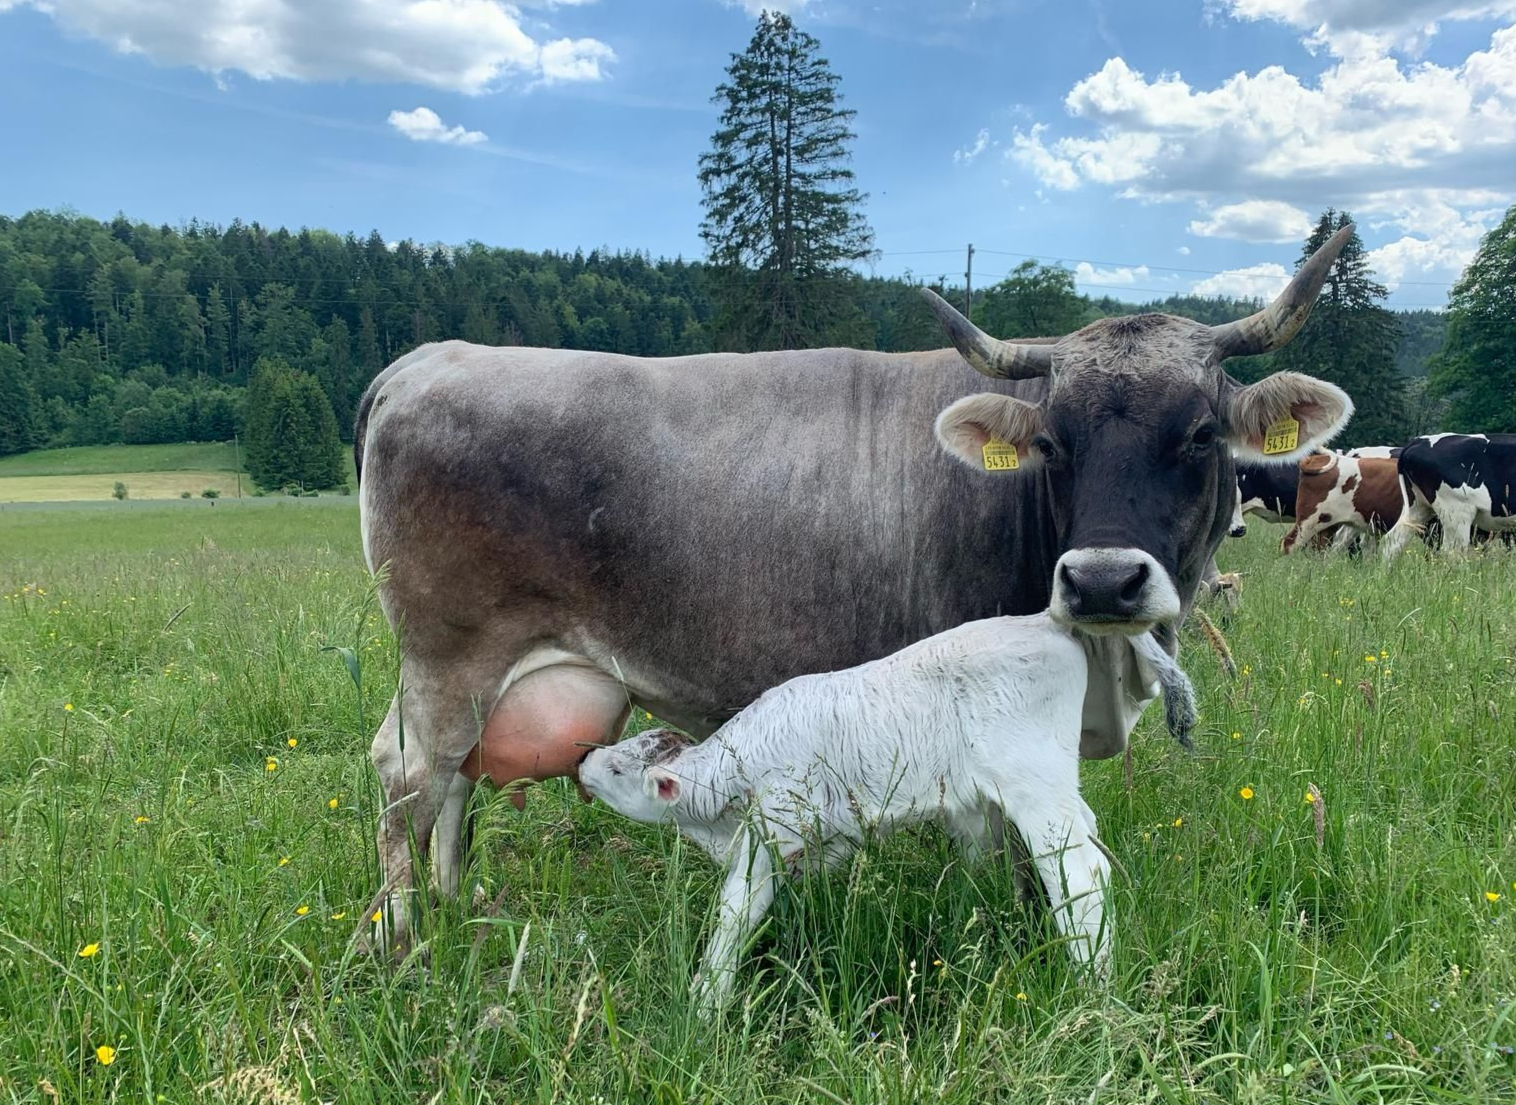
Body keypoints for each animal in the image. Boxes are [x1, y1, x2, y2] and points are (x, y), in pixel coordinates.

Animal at [354, 227, 1355, 952]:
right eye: (1052, 440)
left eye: (1199, 433)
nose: (1103, 579)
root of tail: (426, 360)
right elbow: (998, 846)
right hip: (448, 656)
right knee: (408, 777)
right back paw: (405, 940)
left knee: (451, 786)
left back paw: (455, 909)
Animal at [580, 613, 1196, 1014]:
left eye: (618, 770)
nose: (584, 759)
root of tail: (1047, 620)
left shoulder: (770, 831)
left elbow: (736, 913)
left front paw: (705, 1005)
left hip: (1037, 788)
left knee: (1081, 877)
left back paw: (1093, 991)